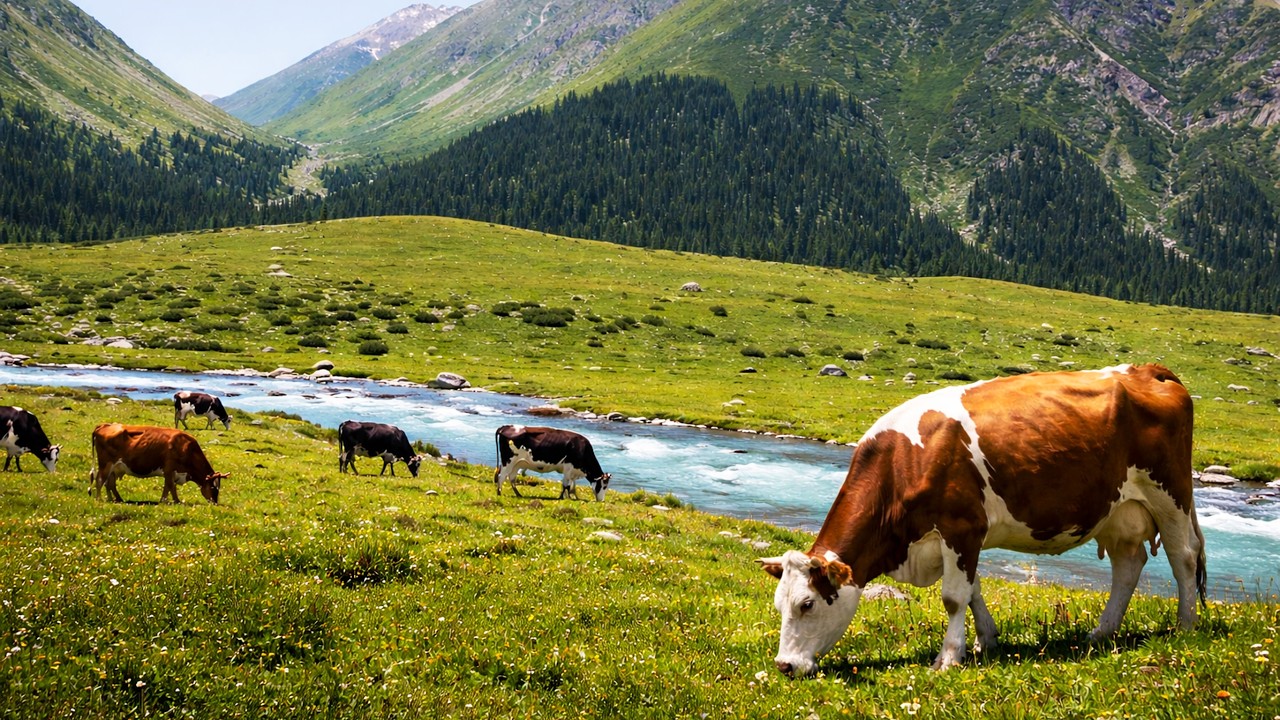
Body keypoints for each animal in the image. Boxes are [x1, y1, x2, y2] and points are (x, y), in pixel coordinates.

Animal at [89, 423, 228, 504]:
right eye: (213, 487)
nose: (215, 503)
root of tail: (104, 425)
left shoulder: (172, 472)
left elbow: (168, 486)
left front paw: (164, 500)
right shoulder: (169, 468)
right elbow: (170, 486)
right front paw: (176, 501)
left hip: (115, 467)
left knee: (109, 483)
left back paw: (115, 499)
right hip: (106, 463)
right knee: (100, 480)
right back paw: (99, 499)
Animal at [759, 364, 1207, 676]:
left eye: (806, 604)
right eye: (779, 603)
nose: (785, 665)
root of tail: (1145, 370)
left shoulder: (962, 526)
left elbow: (954, 597)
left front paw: (948, 658)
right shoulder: (957, 537)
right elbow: (972, 590)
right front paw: (985, 641)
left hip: (1170, 494)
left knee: (1183, 557)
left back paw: (1186, 626)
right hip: (1117, 511)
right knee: (1128, 565)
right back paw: (1101, 632)